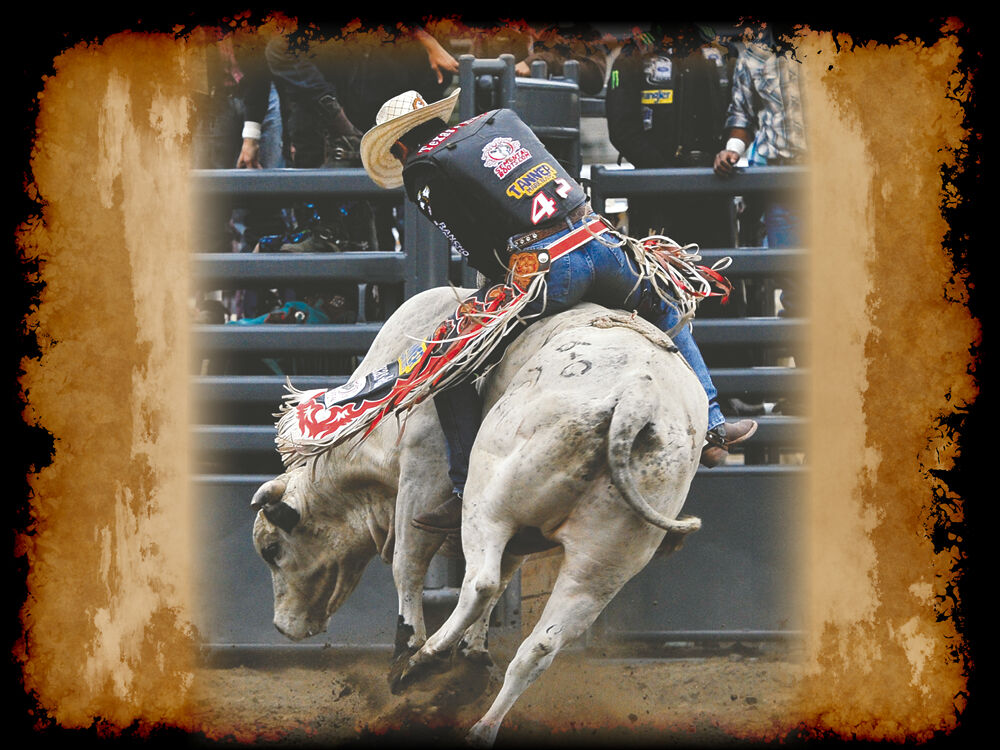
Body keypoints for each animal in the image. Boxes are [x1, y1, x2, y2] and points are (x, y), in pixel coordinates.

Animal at [249, 286, 704, 748]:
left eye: (271, 549)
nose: (282, 627)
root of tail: (635, 401)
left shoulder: (423, 473)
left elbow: (409, 566)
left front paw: (410, 645)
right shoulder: (524, 538)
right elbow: (504, 580)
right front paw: (473, 656)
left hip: (488, 499)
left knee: (480, 583)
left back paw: (423, 661)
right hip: (605, 560)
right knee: (540, 644)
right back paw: (481, 726)